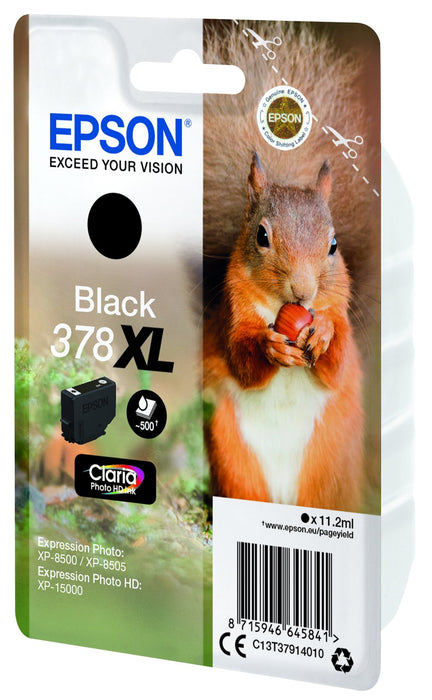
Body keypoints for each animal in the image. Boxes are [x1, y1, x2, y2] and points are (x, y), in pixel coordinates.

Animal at [202, 21, 380, 512]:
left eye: (334, 245)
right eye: (262, 236)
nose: (303, 293)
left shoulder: (339, 310)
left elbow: (337, 362)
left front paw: (322, 333)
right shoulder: (232, 313)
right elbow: (241, 359)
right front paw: (269, 347)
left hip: (329, 466)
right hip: (233, 456)